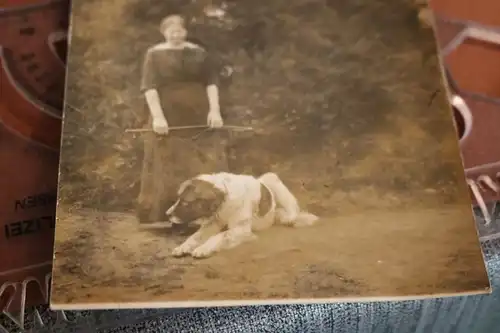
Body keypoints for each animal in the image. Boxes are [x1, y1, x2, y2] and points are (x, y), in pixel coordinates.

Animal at [166, 172, 318, 258]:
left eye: (185, 202)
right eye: (178, 199)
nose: (167, 214)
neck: (224, 203)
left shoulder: (240, 229)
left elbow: (219, 236)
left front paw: (204, 248)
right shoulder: (210, 225)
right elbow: (194, 237)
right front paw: (183, 247)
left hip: (271, 179)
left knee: (293, 208)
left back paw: (290, 219)